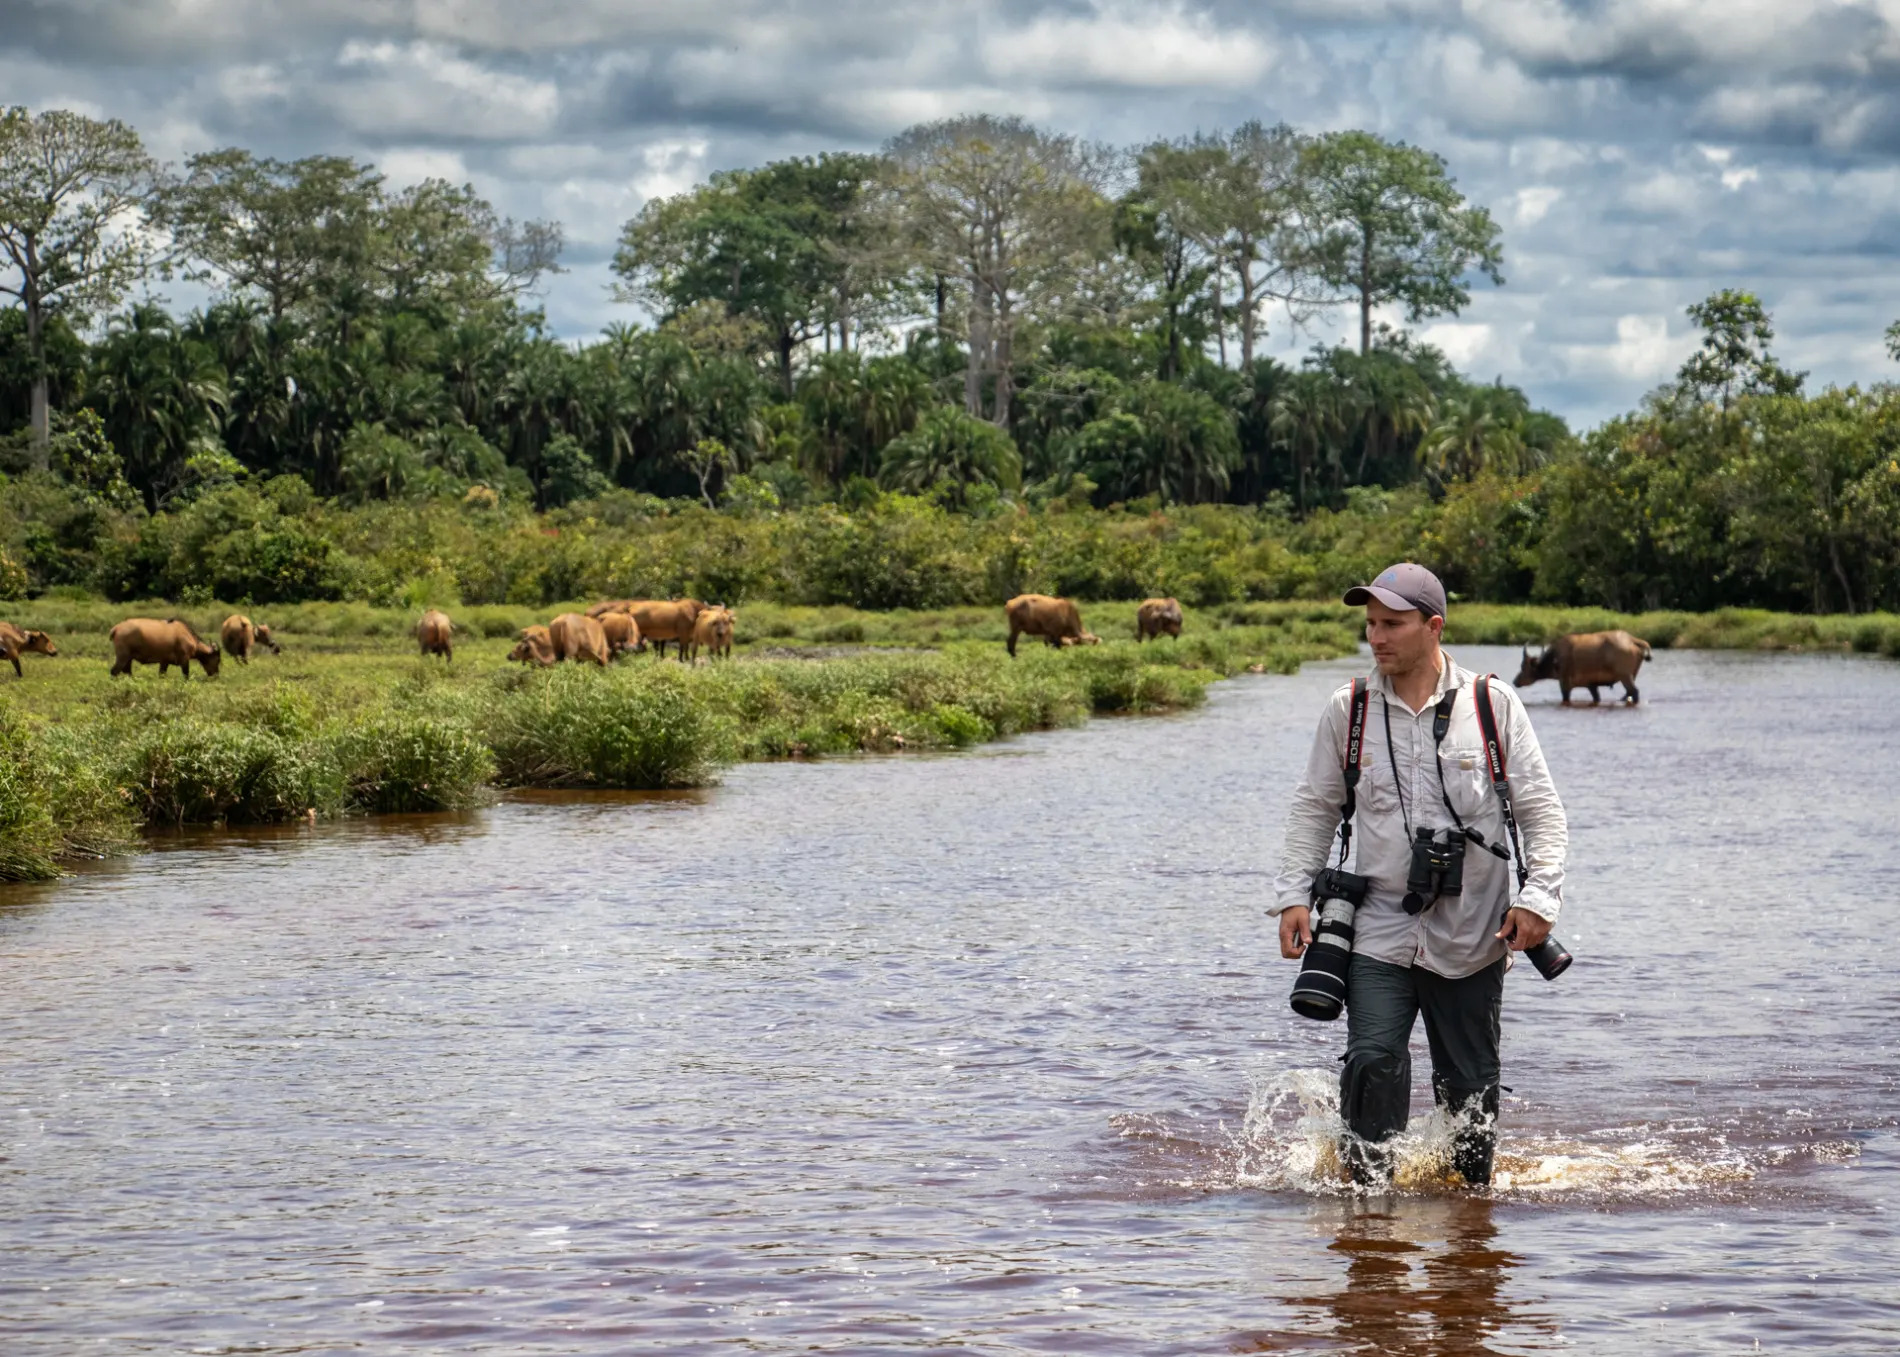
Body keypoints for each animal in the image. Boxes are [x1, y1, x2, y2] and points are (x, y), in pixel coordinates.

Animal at [1512, 627, 1649, 703]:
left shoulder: (1565, 683)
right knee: (1629, 694)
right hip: (1631, 675)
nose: (1515, 681)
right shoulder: (1591, 685)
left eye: (1523, 666)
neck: (1554, 660)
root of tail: (1633, 641)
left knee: (1634, 691)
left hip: (1625, 676)